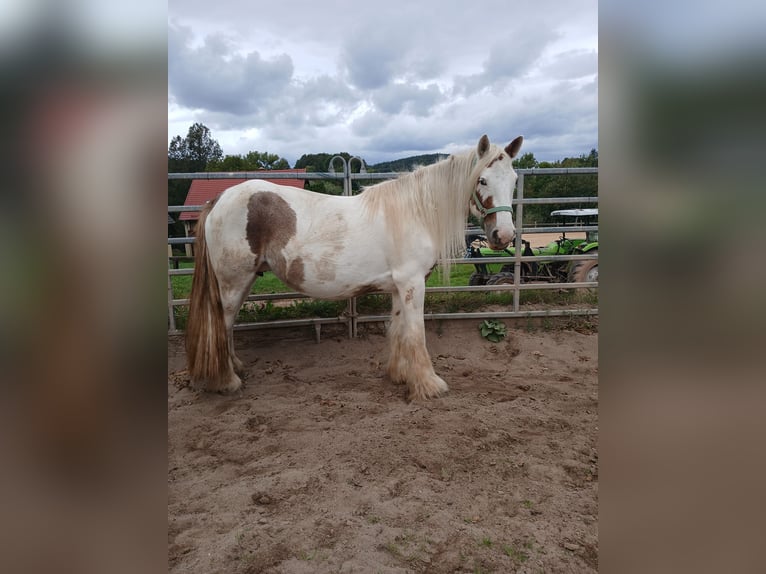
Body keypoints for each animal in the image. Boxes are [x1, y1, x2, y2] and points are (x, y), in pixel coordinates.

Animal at [186, 136, 520, 402]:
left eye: (515, 180)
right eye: (482, 180)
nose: (503, 236)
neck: (415, 213)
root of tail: (218, 199)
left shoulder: (399, 287)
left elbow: (398, 330)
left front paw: (400, 375)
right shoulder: (413, 284)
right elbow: (416, 333)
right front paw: (429, 385)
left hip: (242, 283)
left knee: (227, 327)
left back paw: (234, 368)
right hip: (233, 283)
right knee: (220, 326)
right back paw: (227, 381)